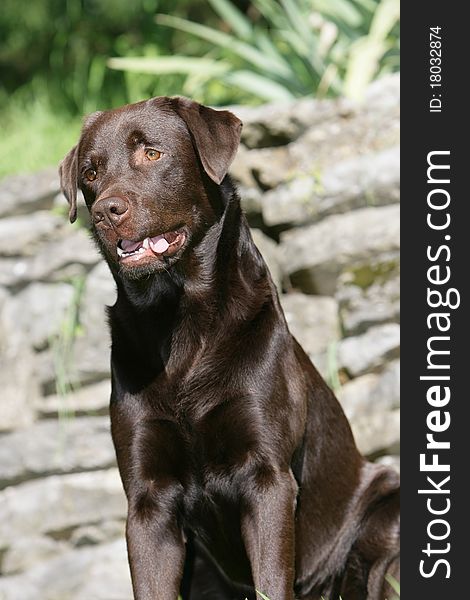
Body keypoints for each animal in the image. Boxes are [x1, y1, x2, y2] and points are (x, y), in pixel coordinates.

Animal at [57, 98, 396, 600]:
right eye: (91, 172)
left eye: (152, 154)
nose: (104, 212)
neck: (180, 325)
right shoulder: (147, 498)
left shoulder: (267, 476)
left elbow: (272, 581)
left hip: (385, 503)